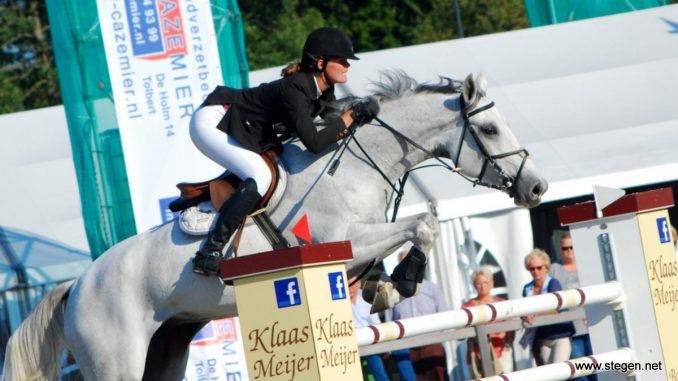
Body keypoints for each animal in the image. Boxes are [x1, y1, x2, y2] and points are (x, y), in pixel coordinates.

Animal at [3, 70, 548, 378]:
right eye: (490, 129)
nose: (537, 188)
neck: (356, 164)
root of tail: (76, 285)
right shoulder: (342, 242)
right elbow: (423, 224)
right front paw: (406, 281)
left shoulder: (360, 243)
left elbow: (418, 228)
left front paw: (386, 288)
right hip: (116, 358)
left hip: (167, 347)